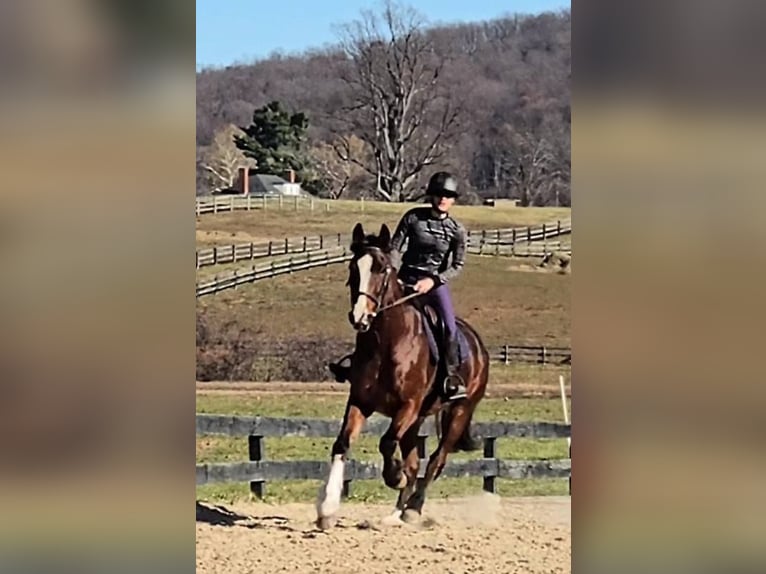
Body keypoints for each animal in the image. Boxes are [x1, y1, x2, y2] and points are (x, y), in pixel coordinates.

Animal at [315, 222, 490, 529]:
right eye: (353, 267)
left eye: (382, 269)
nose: (360, 317)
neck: (386, 342)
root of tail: (478, 345)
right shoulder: (360, 402)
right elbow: (342, 443)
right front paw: (327, 508)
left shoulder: (407, 405)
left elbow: (386, 443)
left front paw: (393, 476)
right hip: (417, 419)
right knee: (415, 462)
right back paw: (396, 513)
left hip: (458, 413)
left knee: (436, 460)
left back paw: (413, 509)